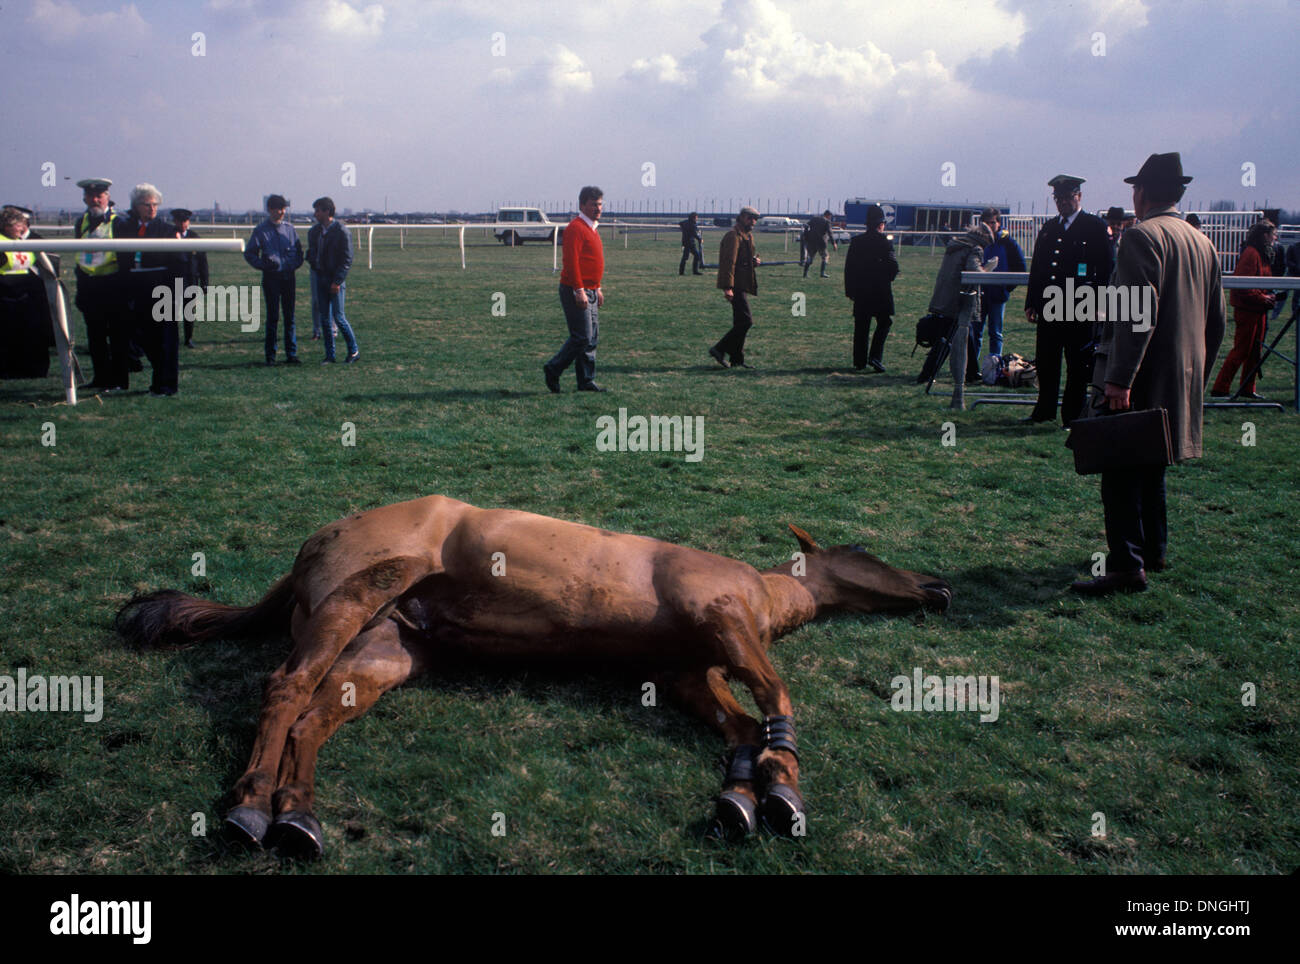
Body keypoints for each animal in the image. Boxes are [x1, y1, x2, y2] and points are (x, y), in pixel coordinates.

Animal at [116, 495, 951, 858]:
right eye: (865, 551)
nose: (937, 585)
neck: (762, 592)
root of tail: (312, 544)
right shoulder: (723, 619)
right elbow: (776, 698)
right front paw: (779, 792)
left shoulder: (688, 672)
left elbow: (745, 728)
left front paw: (752, 794)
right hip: (352, 599)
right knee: (285, 690)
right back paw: (251, 805)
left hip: (384, 649)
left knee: (315, 714)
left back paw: (298, 814)